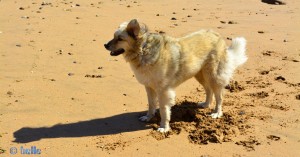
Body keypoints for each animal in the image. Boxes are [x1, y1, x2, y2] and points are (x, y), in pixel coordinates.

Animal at [104, 19, 247, 132]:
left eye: (120, 39)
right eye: (114, 36)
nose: (105, 45)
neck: (142, 50)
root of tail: (217, 35)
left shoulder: (163, 90)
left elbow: (163, 110)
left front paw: (164, 127)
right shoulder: (149, 87)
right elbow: (151, 104)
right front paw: (148, 117)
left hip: (213, 75)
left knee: (219, 96)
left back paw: (217, 113)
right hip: (200, 74)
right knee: (208, 90)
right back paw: (206, 104)